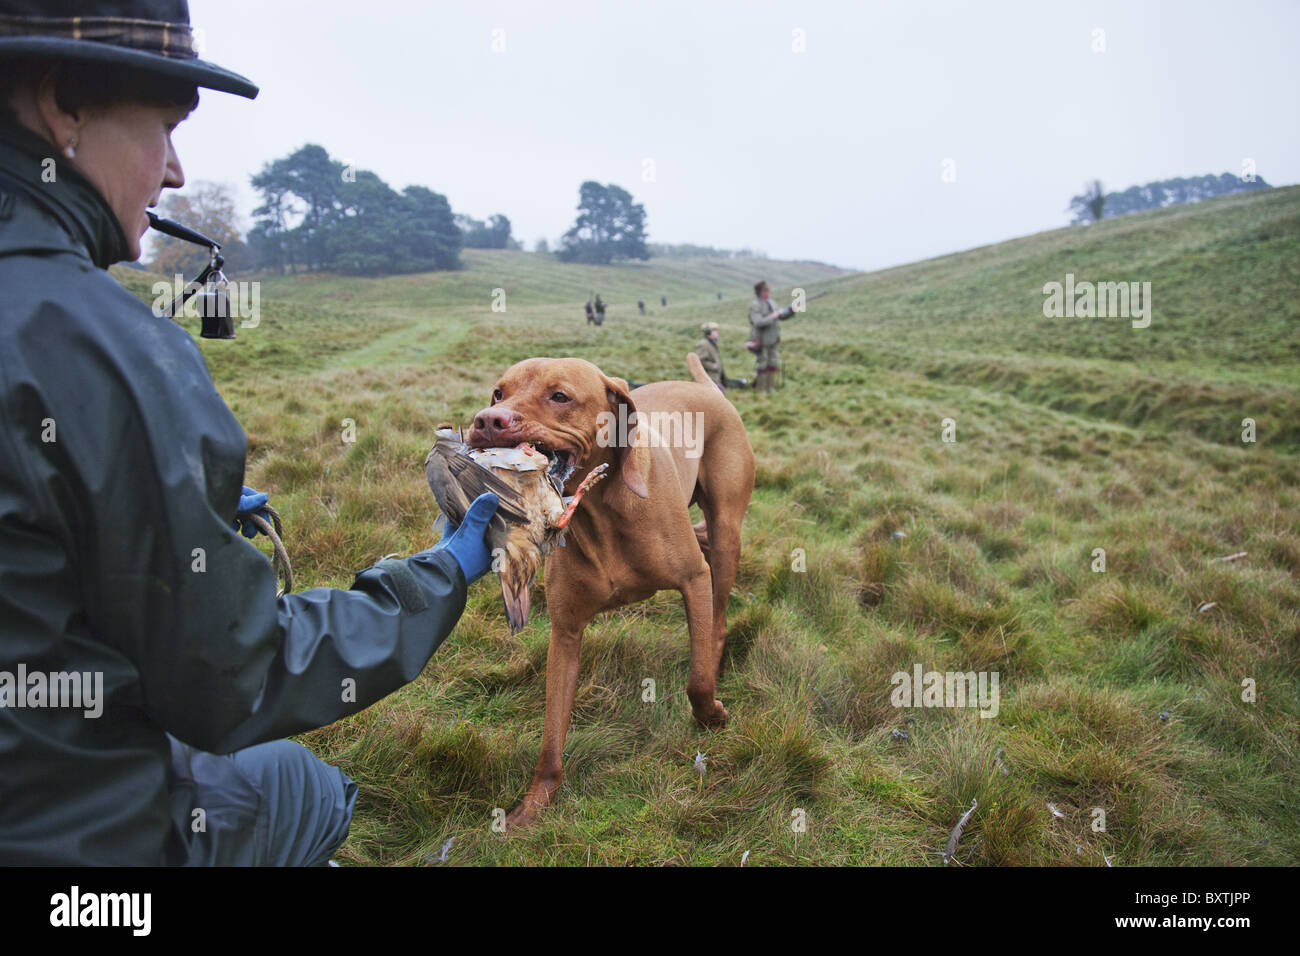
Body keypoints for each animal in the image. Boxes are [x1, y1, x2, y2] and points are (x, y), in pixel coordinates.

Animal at [465, 356, 754, 827]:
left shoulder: (694, 580)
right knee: (704, 542)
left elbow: (696, 682)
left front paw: (711, 716)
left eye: (559, 396)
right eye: (498, 393)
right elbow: (551, 733)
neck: (598, 510)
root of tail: (708, 388)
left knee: (718, 616)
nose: (488, 421)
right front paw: (534, 803)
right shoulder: (564, 634)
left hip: (728, 534)